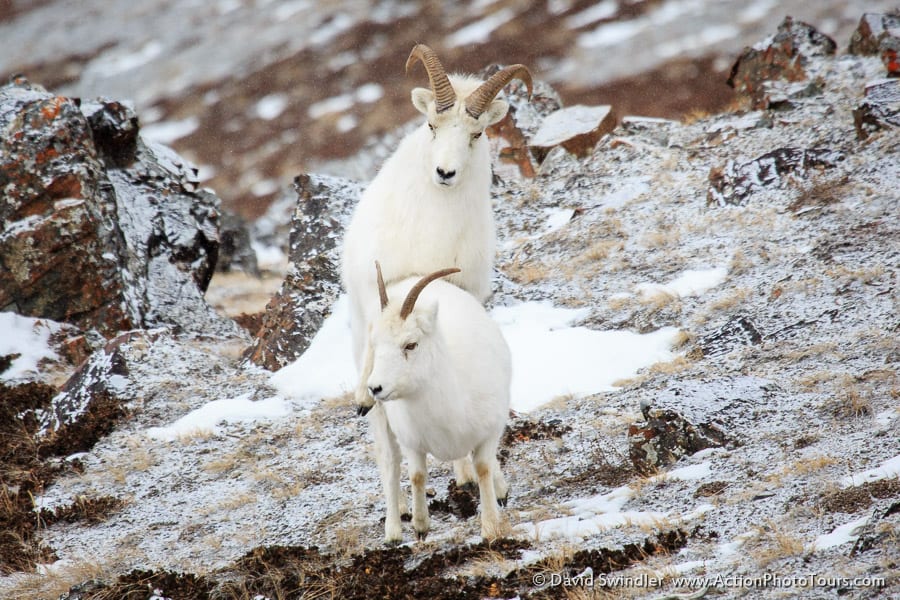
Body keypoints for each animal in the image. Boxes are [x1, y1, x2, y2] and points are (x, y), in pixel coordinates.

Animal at [362, 264, 510, 544]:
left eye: (411, 344)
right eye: (375, 345)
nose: (375, 388)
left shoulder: (489, 432)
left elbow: (484, 468)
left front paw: (490, 528)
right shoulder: (412, 442)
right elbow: (417, 475)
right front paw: (421, 527)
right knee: (390, 464)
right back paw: (393, 531)